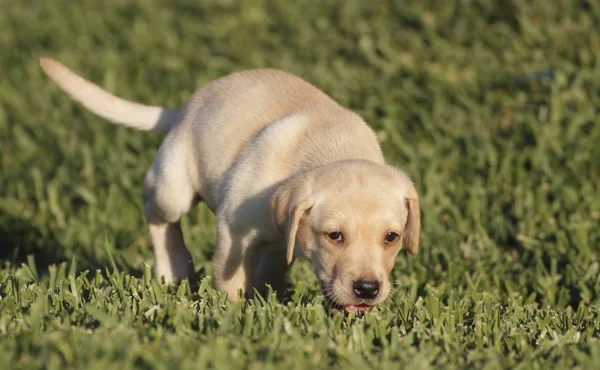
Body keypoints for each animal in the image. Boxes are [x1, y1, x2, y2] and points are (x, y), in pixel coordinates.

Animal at [39, 59, 420, 314]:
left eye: (392, 237)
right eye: (334, 236)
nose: (367, 289)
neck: (333, 148)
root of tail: (187, 106)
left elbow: (270, 268)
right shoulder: (233, 232)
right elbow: (230, 280)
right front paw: (233, 316)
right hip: (172, 188)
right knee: (155, 209)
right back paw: (173, 268)